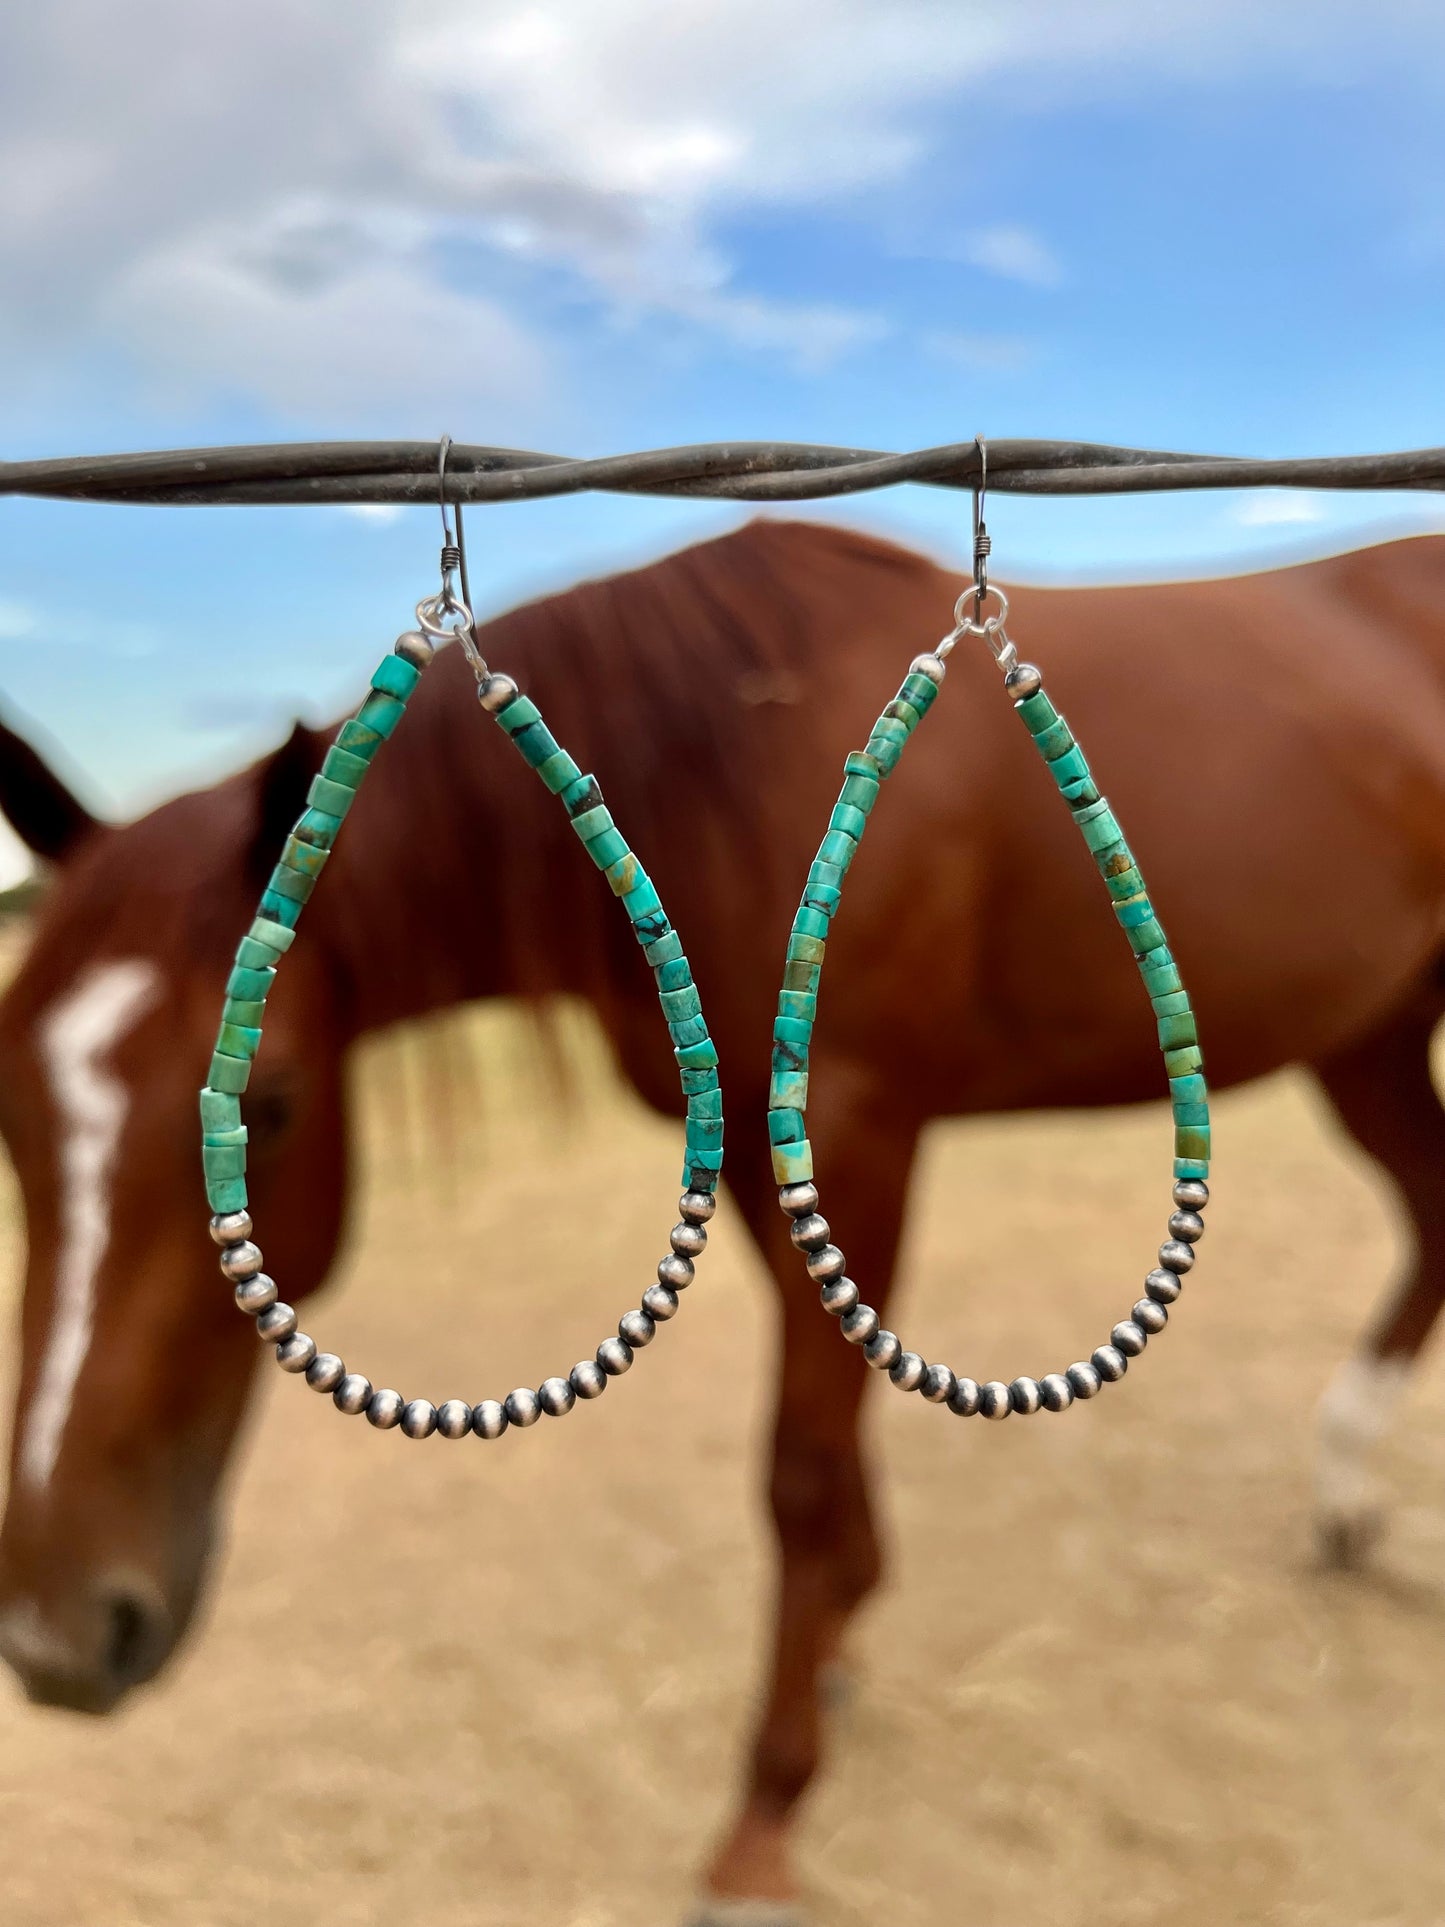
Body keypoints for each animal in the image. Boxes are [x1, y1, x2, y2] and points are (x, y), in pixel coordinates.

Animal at [0, 516, 1445, 1911]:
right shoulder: (762, 1161)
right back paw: (1344, 1503)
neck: (718, 755)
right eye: (11, 1109)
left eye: (277, 1101)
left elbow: (798, 1471)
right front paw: (845, 1642)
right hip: (1366, 1036)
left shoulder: (855, 1126)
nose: (59, 1636)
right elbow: (832, 1445)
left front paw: (762, 1817)